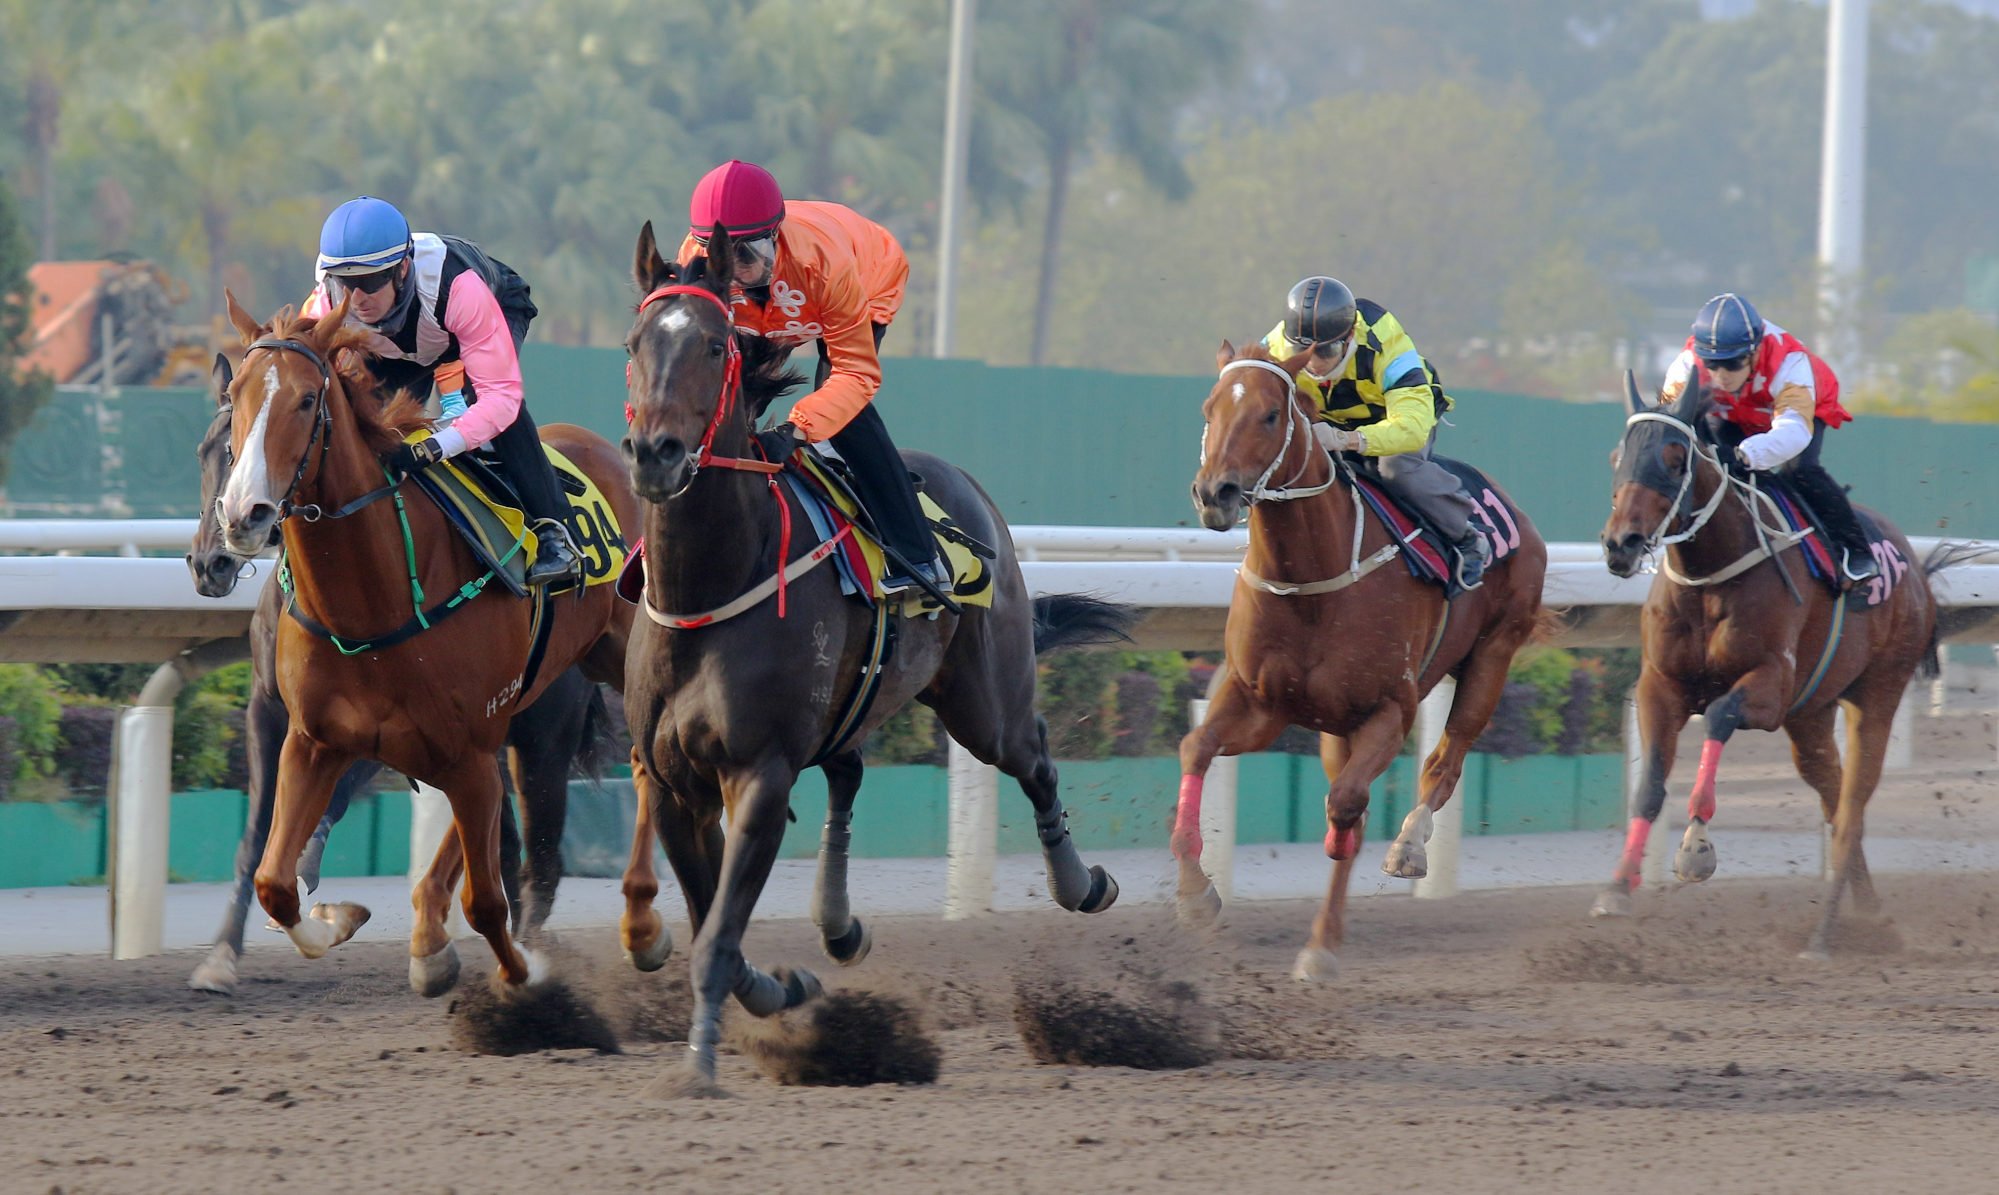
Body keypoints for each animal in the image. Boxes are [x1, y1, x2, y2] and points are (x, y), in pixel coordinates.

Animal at [211, 295, 635, 999]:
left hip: (591, 696)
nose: (244, 515)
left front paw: (522, 979)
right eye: (234, 394)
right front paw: (341, 918)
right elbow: (275, 882)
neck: (373, 603)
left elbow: (487, 902)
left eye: (306, 400)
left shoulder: (467, 749)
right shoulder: (315, 739)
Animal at [615, 222, 1135, 1095]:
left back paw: (1081, 881)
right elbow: (711, 920)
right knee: (851, 767)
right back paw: (838, 924)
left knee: (1031, 754)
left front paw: (699, 1067)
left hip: (981, 702)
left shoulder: (759, 772)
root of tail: (967, 486)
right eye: (634, 343)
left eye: (717, 345)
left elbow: (717, 934)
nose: (656, 453)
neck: (711, 584)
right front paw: (782, 985)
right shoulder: (676, 781)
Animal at [1183, 337, 1543, 983]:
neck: (1309, 582)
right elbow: (1196, 748)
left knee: (1445, 761)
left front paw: (1322, 935)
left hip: (1493, 654)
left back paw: (1408, 848)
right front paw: (1194, 894)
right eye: (1209, 408)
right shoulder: (1259, 701)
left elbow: (1348, 804)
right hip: (1335, 725)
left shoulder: (1387, 711)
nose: (1214, 494)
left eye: (1270, 415)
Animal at [1591, 369, 1935, 959]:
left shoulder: (1771, 688)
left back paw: (1822, 937)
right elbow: (1650, 784)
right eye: (1618, 455)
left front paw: (1695, 846)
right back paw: (1868, 916)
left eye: (1675, 457)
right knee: (1835, 798)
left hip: (1879, 692)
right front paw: (1617, 888)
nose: (1621, 544)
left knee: (1851, 810)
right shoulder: (1661, 687)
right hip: (1811, 716)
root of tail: (1915, 568)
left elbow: (1721, 715)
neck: (1709, 575)